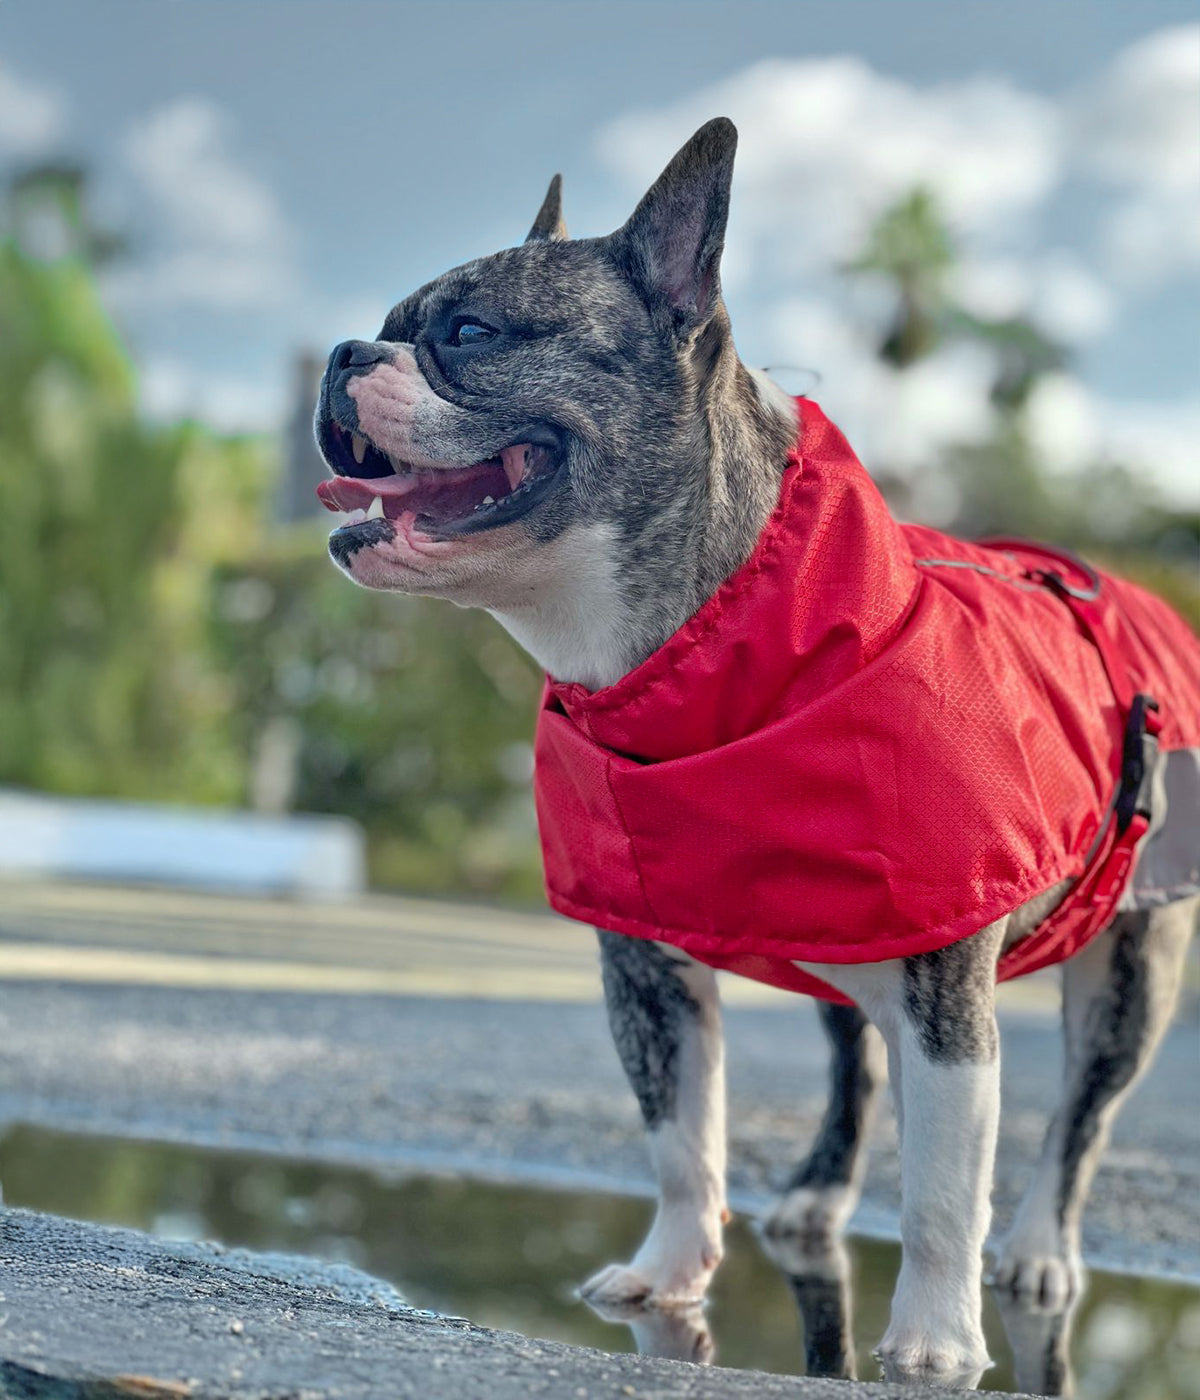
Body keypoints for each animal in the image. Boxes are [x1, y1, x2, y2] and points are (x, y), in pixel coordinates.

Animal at [310, 123, 1198, 1388]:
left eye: (470, 332)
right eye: (390, 320)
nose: (343, 351)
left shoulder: (949, 978)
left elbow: (948, 1182)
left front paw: (936, 1339)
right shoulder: (645, 965)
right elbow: (683, 1134)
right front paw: (671, 1272)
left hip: (1130, 970)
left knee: (1078, 1116)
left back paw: (1037, 1248)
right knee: (859, 1067)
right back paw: (820, 1197)